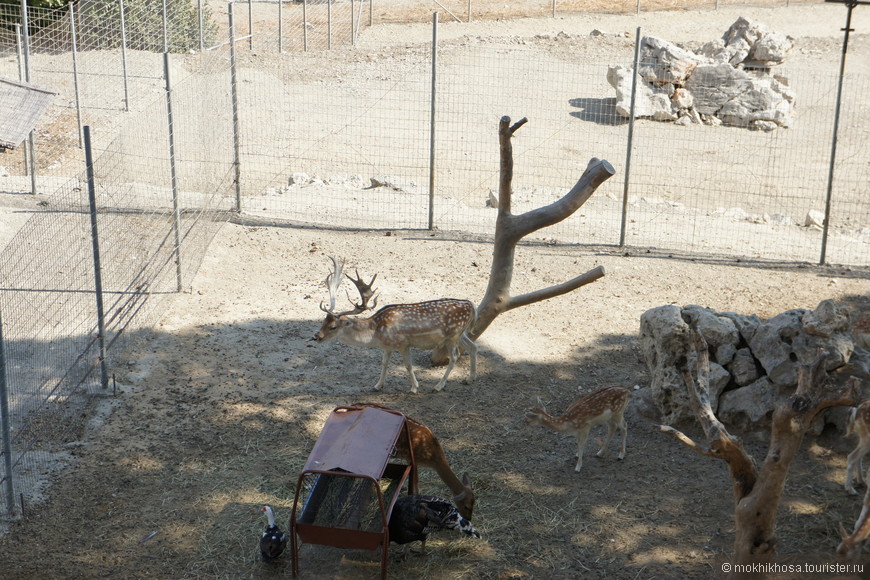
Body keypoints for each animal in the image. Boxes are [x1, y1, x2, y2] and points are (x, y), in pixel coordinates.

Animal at [312, 258, 480, 394]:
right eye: (323, 322)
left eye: (333, 327)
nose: (316, 337)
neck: (376, 333)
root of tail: (471, 305)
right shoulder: (388, 346)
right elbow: (384, 363)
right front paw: (377, 385)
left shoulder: (403, 343)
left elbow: (408, 365)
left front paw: (414, 388)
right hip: (460, 334)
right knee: (473, 346)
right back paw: (470, 378)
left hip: (453, 335)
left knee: (455, 356)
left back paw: (438, 386)